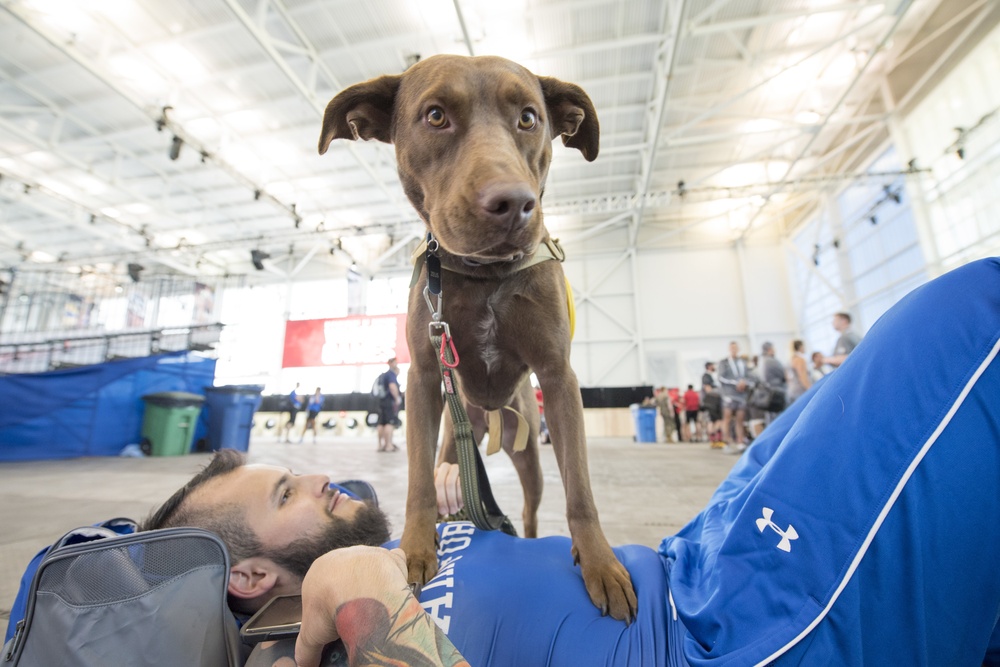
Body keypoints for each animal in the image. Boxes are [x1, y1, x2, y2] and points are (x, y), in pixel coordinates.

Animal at [316, 53, 636, 620]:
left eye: (529, 118)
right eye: (435, 115)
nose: (513, 203)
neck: (485, 274)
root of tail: (486, 423)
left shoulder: (558, 377)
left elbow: (580, 488)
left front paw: (601, 563)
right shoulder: (424, 379)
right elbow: (418, 484)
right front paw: (415, 550)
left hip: (530, 454)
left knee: (530, 509)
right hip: (449, 436)